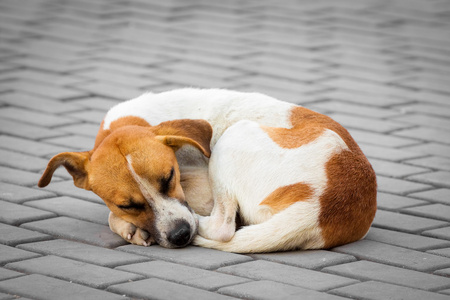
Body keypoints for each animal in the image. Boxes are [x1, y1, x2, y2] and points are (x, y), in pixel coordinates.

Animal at [37, 88, 376, 252]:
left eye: (169, 178)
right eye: (128, 205)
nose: (180, 235)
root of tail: (320, 207)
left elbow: (109, 216)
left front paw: (127, 227)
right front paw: (129, 225)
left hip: (233, 138)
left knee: (223, 227)